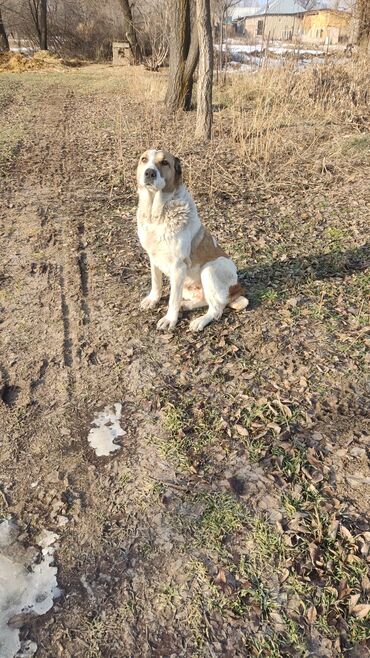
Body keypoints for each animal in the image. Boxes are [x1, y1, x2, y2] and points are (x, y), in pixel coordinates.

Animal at [137, 150, 249, 334]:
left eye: (165, 163)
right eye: (144, 159)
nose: (149, 173)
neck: (157, 216)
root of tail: (237, 287)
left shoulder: (178, 267)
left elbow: (172, 299)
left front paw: (170, 320)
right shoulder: (153, 258)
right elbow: (156, 282)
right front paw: (153, 299)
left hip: (210, 269)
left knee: (216, 309)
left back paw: (199, 321)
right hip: (190, 287)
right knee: (206, 301)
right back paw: (186, 306)